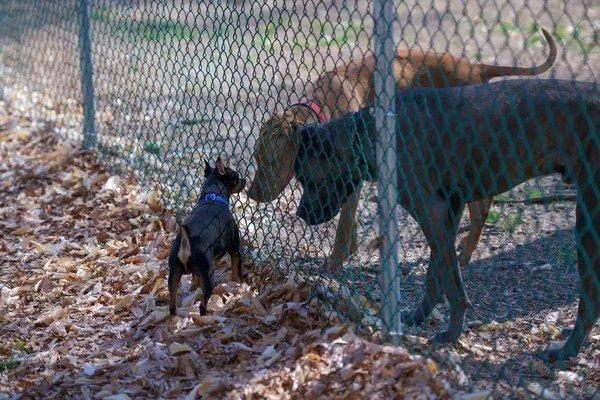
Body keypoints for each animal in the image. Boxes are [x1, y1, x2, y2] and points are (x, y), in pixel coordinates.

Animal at [168, 156, 245, 316]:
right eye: (236, 177)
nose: (245, 180)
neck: (212, 197)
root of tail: (187, 239)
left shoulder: (196, 273)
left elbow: (194, 281)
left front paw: (193, 289)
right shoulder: (234, 249)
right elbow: (236, 266)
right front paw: (238, 282)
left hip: (174, 274)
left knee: (172, 303)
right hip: (209, 275)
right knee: (202, 305)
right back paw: (206, 316)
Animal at [246, 29, 556, 270]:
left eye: (273, 162)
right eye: (257, 158)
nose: (250, 194)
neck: (322, 107)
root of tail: (476, 67)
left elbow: (344, 223)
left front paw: (335, 262)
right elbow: (350, 217)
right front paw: (350, 250)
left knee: (481, 206)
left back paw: (465, 252)